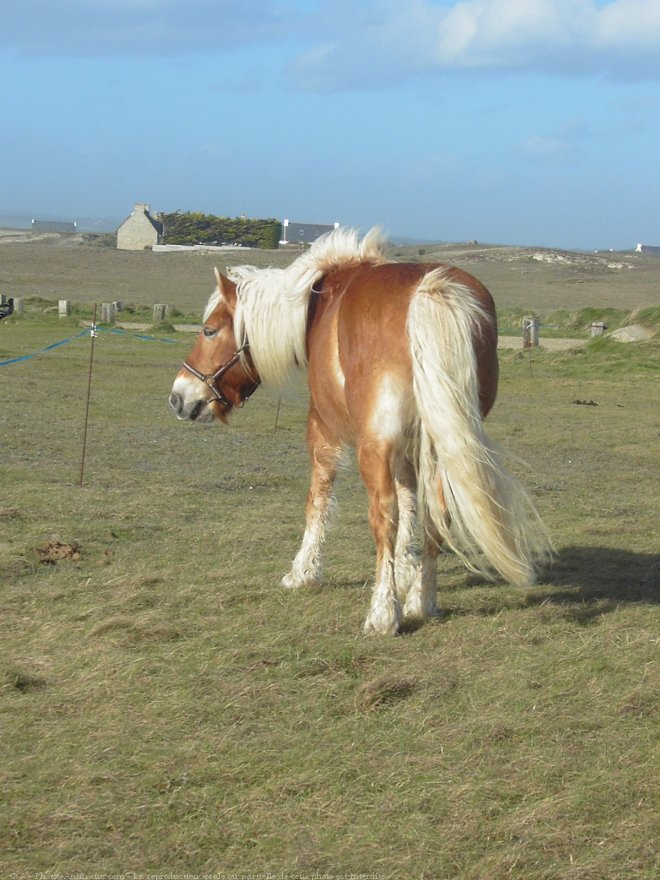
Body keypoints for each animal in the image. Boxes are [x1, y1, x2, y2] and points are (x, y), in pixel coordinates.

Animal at [170, 229, 552, 632]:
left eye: (209, 330)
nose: (178, 397)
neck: (317, 303)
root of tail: (429, 291)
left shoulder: (324, 428)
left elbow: (319, 499)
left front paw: (304, 571)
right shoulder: (409, 442)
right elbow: (410, 497)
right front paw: (406, 570)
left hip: (375, 444)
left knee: (383, 514)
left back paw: (383, 611)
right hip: (443, 440)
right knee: (436, 511)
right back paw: (422, 600)